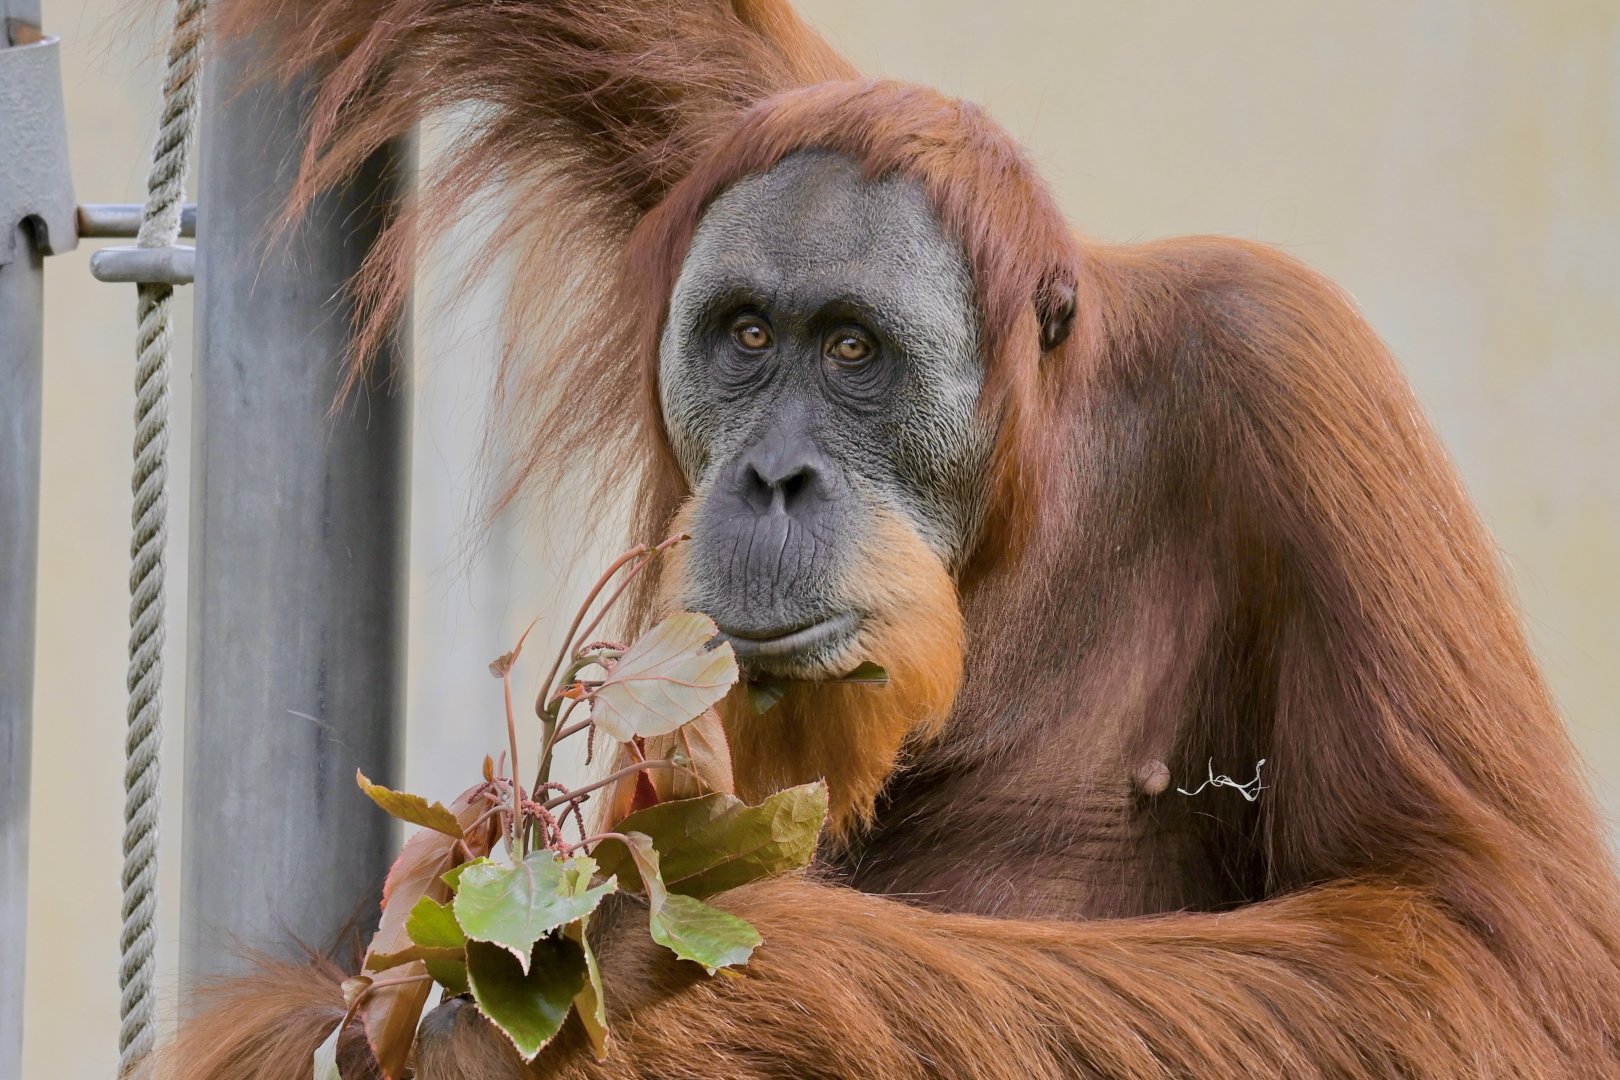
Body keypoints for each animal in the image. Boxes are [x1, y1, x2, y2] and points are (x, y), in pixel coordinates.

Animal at [155, 3, 1620, 1078]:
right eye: (748, 335)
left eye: (854, 350)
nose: (770, 475)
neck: (1025, 502)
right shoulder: (721, 136)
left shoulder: (1290, 372)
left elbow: (1480, 956)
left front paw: (644, 979)